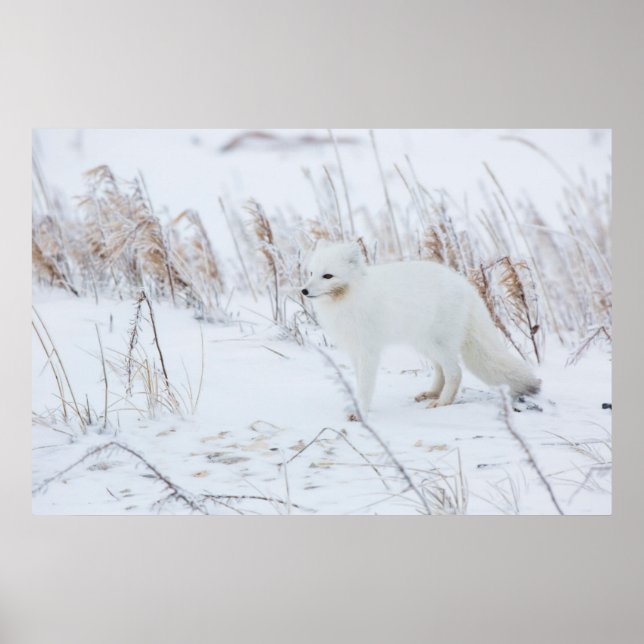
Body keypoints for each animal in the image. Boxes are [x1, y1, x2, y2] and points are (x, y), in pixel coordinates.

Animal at [302, 240, 540, 417]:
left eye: (328, 276)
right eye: (311, 273)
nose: (303, 291)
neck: (349, 298)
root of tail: (465, 286)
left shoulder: (369, 351)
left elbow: (366, 385)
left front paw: (361, 411)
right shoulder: (355, 351)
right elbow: (359, 381)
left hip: (438, 343)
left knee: (455, 372)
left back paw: (442, 402)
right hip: (424, 344)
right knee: (441, 369)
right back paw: (432, 393)